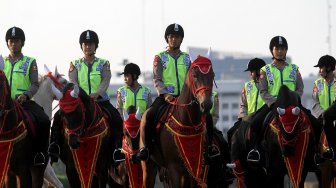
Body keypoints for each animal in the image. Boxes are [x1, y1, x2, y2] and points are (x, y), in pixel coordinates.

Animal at [140, 54, 215, 187]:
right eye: (195, 75)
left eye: (213, 75)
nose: (206, 105)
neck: (188, 123)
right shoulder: (174, 168)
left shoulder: (197, 169)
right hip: (148, 165)